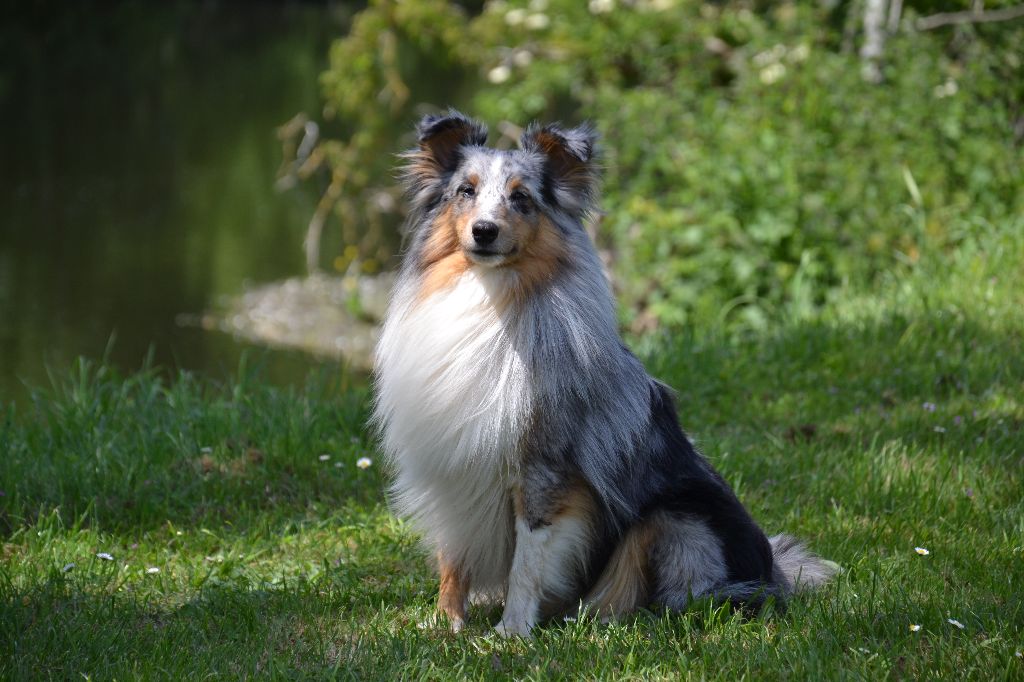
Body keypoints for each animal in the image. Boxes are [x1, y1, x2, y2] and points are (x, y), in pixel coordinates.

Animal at [372, 109, 835, 634]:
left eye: (521, 198)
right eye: (465, 191)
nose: (484, 231)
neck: (489, 298)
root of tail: (775, 573)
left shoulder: (545, 468)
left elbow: (528, 560)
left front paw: (511, 631)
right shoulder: (450, 466)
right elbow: (454, 555)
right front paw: (444, 624)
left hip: (675, 520)